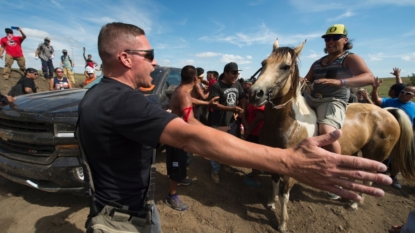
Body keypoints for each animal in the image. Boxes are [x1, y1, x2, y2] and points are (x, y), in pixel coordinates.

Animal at [249, 39, 414, 232]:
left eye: (285, 66)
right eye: (263, 63)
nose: (255, 93)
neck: (287, 123)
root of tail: (387, 111)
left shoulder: (292, 169)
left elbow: (285, 195)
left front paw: (282, 222)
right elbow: (274, 182)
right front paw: (271, 203)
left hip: (376, 157)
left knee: (368, 180)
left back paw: (355, 203)